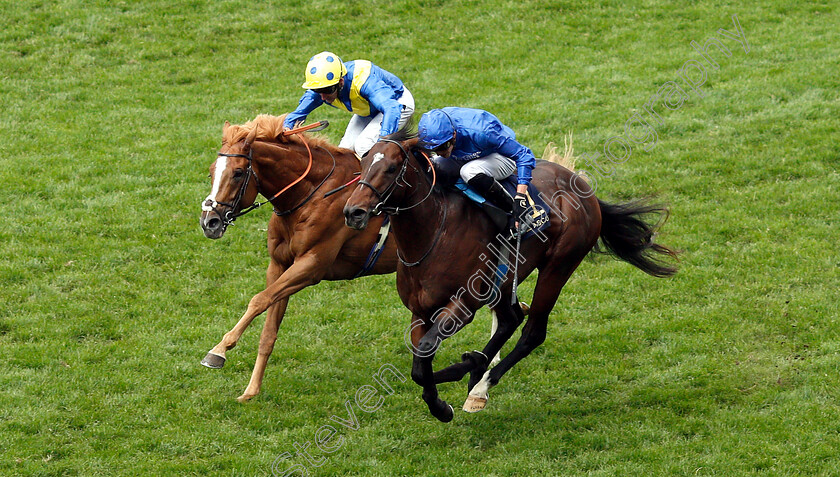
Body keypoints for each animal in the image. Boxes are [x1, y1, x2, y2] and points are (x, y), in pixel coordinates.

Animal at [203, 115, 400, 402]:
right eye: (211, 171)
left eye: (238, 173)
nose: (209, 222)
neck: (311, 195)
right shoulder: (279, 265)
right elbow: (268, 327)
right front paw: (251, 390)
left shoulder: (312, 265)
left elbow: (258, 300)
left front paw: (217, 351)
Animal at [342, 127, 676, 420]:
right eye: (363, 162)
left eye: (391, 168)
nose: (353, 212)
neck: (433, 233)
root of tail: (583, 186)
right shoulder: (420, 310)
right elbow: (418, 366)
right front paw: (443, 400)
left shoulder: (463, 305)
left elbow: (425, 355)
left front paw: (448, 395)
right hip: (503, 281)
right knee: (510, 318)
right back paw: (477, 372)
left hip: (558, 265)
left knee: (532, 332)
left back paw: (481, 382)